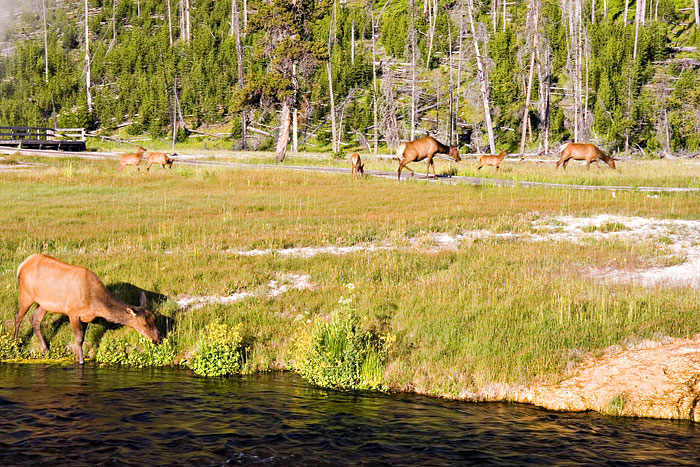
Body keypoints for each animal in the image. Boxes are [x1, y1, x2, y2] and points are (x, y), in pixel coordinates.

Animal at [14, 252, 163, 366]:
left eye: (154, 319)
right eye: (144, 324)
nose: (159, 339)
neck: (94, 303)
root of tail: (21, 265)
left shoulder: (85, 317)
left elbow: (82, 338)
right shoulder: (72, 312)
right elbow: (79, 339)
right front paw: (80, 362)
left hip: (44, 303)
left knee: (34, 319)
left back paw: (45, 349)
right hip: (26, 293)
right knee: (18, 316)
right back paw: (15, 345)